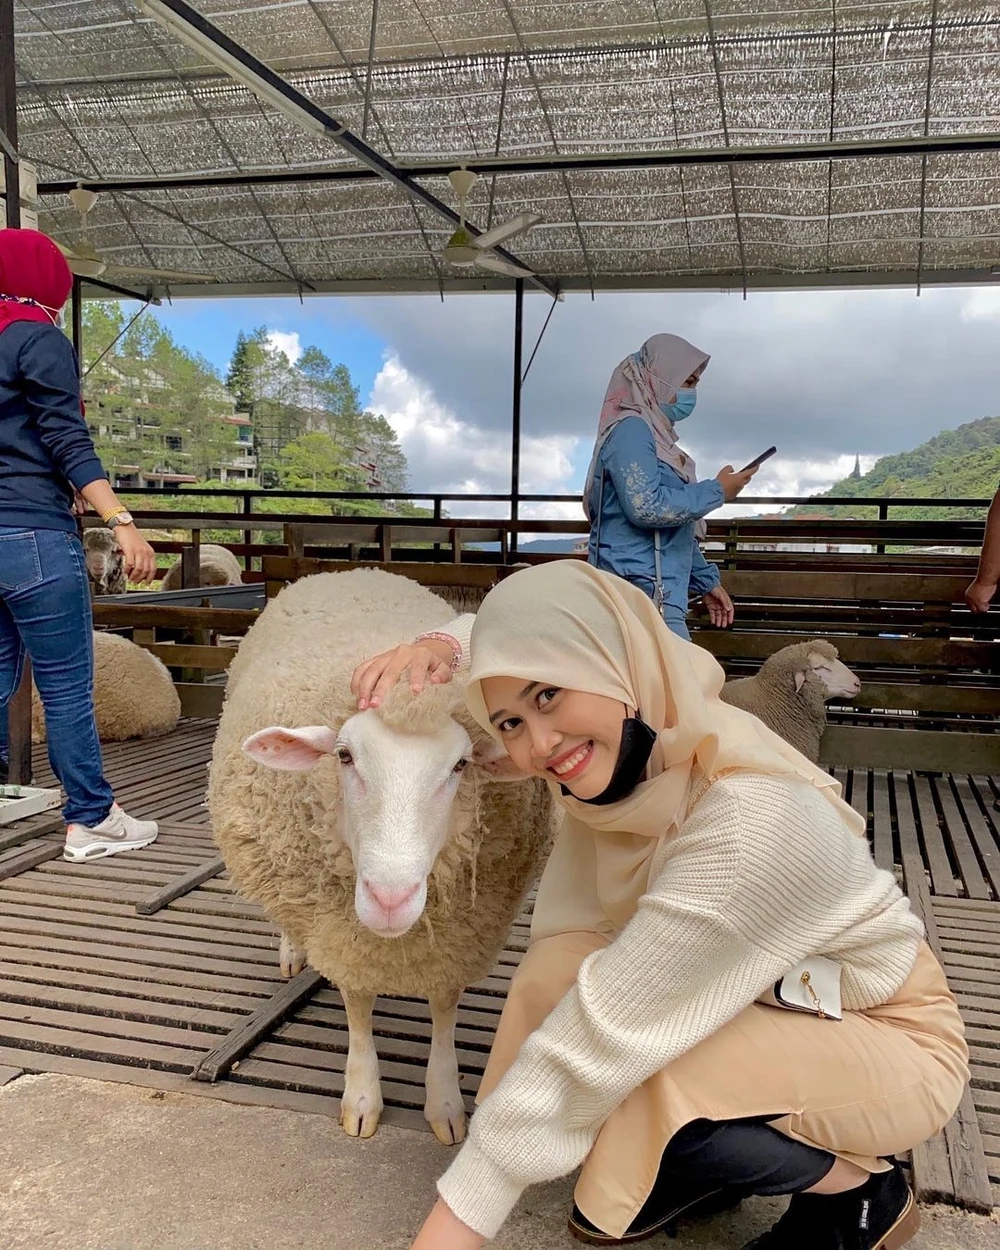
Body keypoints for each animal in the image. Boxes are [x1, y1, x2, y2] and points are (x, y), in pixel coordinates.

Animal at [208, 572, 555, 1145]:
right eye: (344, 756)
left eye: (460, 765)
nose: (390, 898)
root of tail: (340, 573)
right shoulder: (344, 934)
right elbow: (358, 1006)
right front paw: (362, 1097)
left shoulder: (458, 939)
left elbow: (444, 1006)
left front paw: (445, 1102)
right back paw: (290, 949)